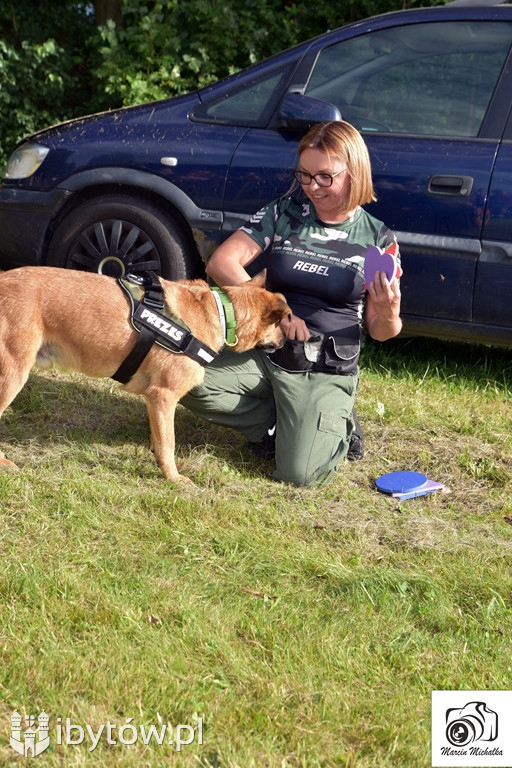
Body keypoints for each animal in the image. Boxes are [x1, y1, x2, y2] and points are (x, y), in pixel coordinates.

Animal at [0, 264, 290, 480]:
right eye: (279, 325)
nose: (287, 343)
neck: (222, 313)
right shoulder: (164, 395)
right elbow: (168, 443)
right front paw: (173, 478)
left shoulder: (154, 400)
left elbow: (158, 436)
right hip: (12, 375)